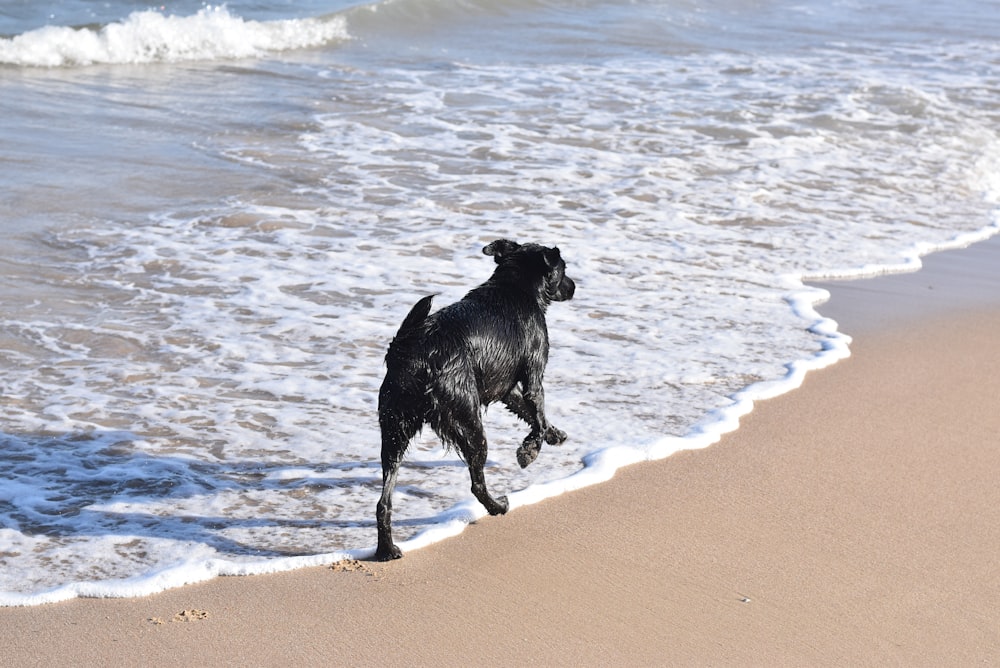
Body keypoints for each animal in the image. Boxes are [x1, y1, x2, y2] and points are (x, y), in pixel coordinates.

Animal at [376, 237, 580, 560]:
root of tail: (412, 355)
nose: (573, 287)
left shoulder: (506, 389)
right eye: (564, 269)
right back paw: (498, 506)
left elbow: (531, 413)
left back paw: (387, 548)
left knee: (384, 500)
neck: (516, 285)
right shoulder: (534, 373)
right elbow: (536, 413)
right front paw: (529, 451)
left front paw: (553, 434)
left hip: (394, 428)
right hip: (467, 421)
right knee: (476, 482)